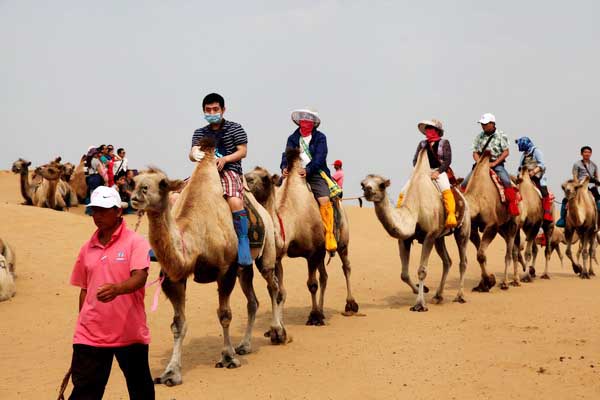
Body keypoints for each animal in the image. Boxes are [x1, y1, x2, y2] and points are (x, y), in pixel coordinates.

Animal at [131, 139, 282, 386]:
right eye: (134, 182)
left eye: (162, 183)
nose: (137, 195)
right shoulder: (174, 277)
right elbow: (178, 324)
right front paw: (170, 373)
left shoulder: (226, 270)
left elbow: (225, 315)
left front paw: (228, 357)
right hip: (244, 268)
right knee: (253, 301)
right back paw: (245, 345)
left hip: (266, 251)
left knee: (274, 287)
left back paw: (278, 332)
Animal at [244, 148, 356, 326]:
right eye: (247, 174)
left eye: (265, 178)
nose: (247, 179)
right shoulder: (279, 256)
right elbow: (280, 291)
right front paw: (279, 325)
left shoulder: (312, 253)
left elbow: (312, 284)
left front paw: (314, 316)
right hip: (322, 252)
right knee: (324, 276)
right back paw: (323, 311)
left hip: (342, 240)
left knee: (346, 267)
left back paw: (350, 305)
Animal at [358, 148, 472, 310]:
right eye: (363, 184)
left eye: (382, 184)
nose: (367, 190)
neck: (414, 211)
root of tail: (459, 191)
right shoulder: (405, 239)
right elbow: (404, 274)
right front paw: (422, 289)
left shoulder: (429, 235)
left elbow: (422, 270)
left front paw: (419, 304)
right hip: (440, 237)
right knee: (447, 261)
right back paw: (438, 296)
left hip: (463, 227)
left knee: (463, 261)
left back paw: (460, 296)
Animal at [464, 153, 520, 290]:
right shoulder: (473, 228)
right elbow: (481, 255)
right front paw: (483, 284)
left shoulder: (492, 225)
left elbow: (480, 255)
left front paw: (490, 281)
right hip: (502, 227)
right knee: (514, 249)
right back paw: (515, 280)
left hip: (513, 223)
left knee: (509, 253)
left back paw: (506, 282)